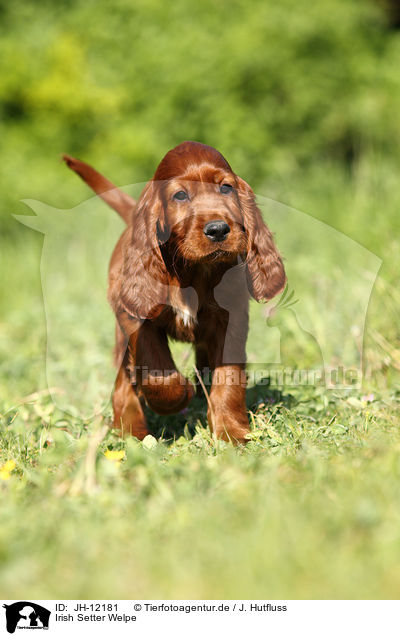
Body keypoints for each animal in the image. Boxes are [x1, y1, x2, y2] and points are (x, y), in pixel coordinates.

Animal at [63, 142, 284, 444]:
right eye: (180, 195)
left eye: (226, 188)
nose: (218, 229)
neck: (194, 271)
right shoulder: (135, 317)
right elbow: (156, 368)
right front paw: (179, 396)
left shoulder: (232, 318)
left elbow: (229, 377)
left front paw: (231, 432)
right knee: (122, 384)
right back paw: (131, 431)